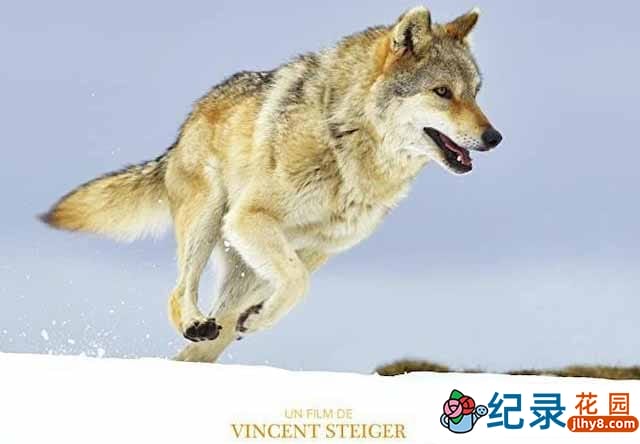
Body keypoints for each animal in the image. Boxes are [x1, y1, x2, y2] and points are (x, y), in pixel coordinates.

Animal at [41, 6, 502, 362]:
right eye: (442, 92)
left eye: (476, 93)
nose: (494, 138)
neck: (345, 140)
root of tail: (185, 126)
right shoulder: (250, 218)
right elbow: (298, 283)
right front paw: (260, 317)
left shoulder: (317, 249)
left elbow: (295, 288)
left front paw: (258, 318)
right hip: (212, 218)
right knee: (179, 296)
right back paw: (194, 323)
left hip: (243, 264)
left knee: (210, 338)